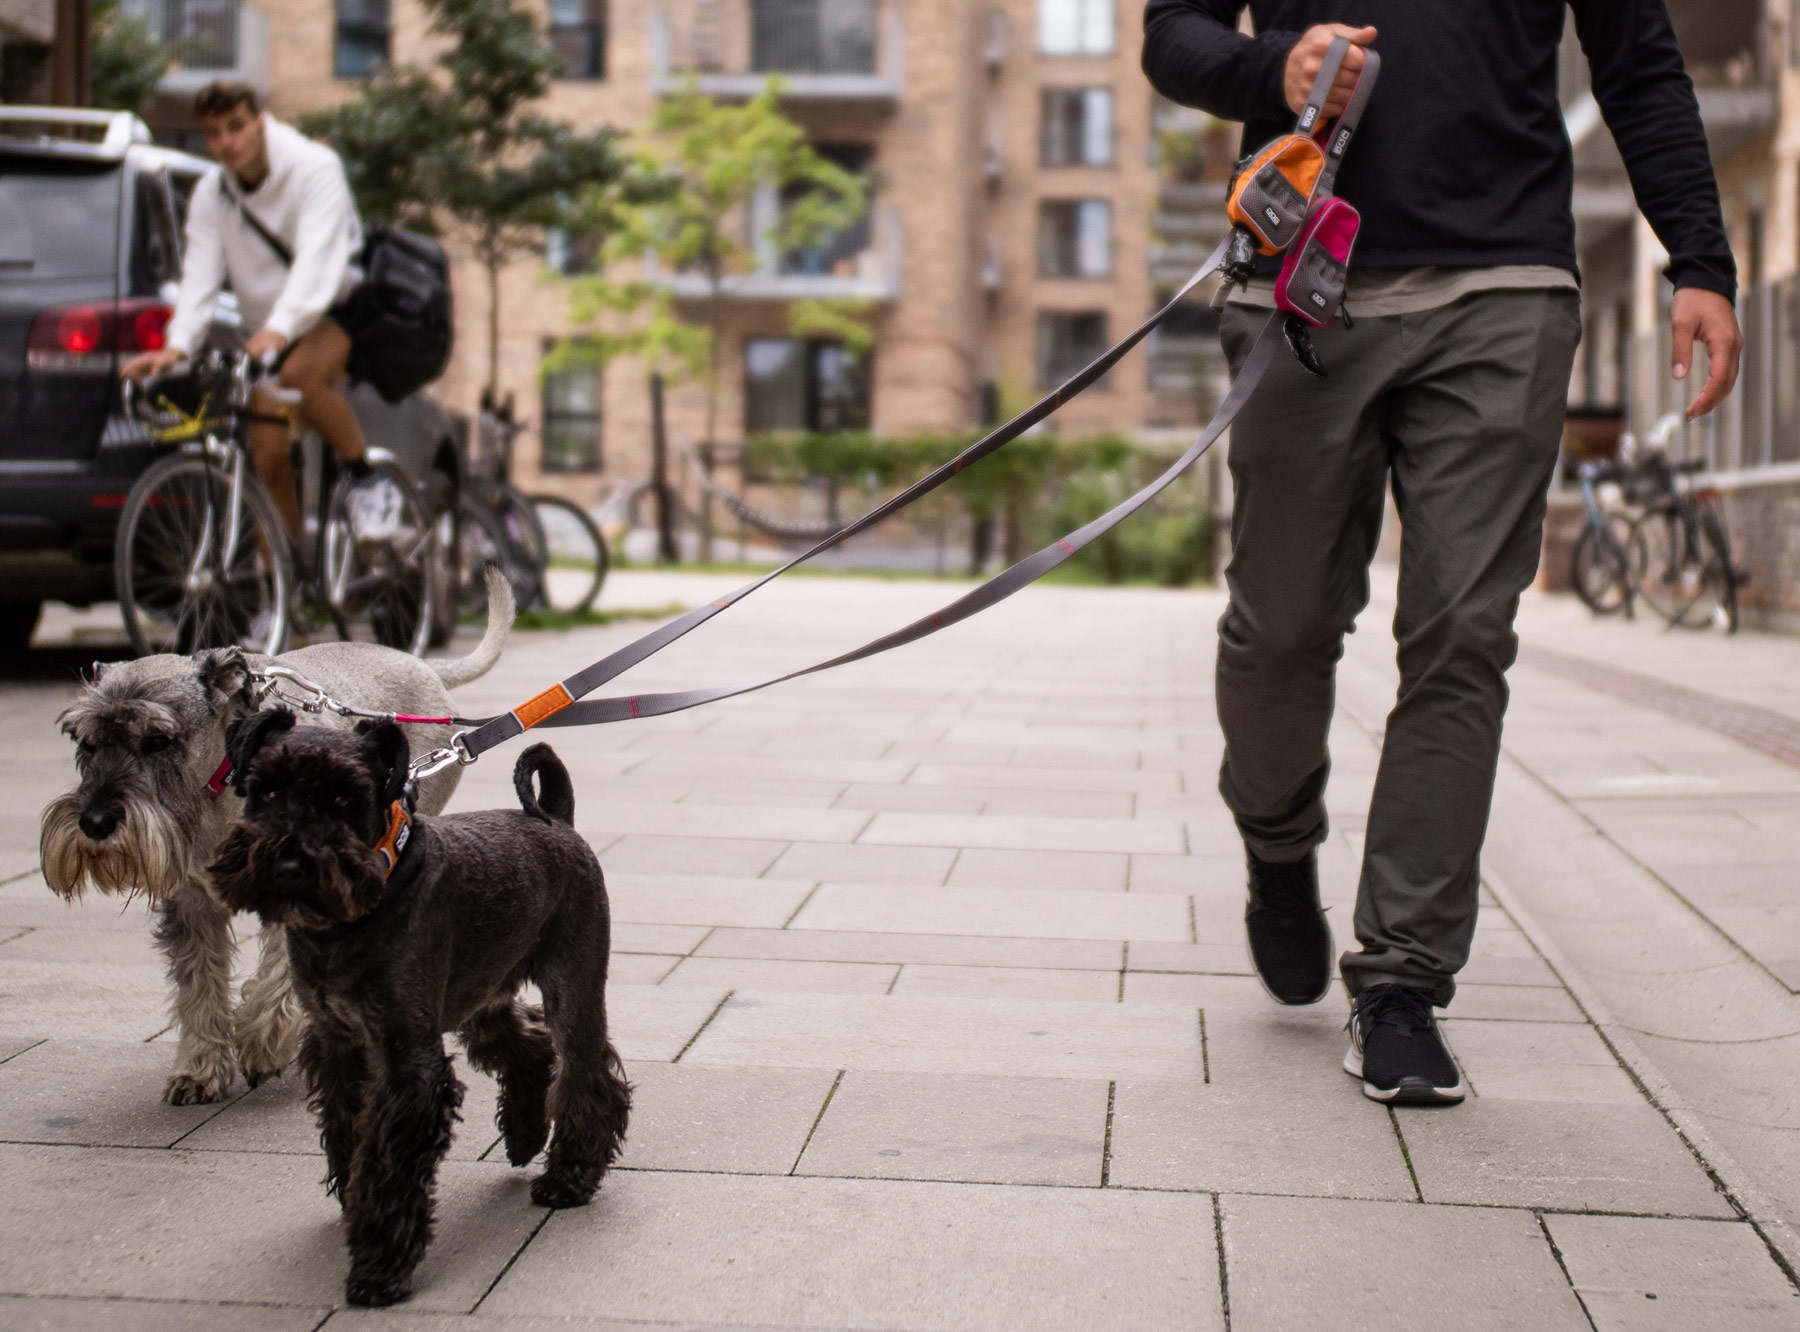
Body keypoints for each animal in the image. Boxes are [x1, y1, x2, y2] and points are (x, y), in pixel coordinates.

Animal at [38, 572, 514, 1101]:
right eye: (85, 741)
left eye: (159, 740)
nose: (95, 822)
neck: (222, 788)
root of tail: (423, 665)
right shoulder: (192, 902)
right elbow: (198, 983)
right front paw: (199, 1069)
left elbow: (276, 974)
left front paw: (262, 1042)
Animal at [209, 712, 630, 1303]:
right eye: (266, 790)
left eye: (344, 797)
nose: (290, 864)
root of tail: (555, 820)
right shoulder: (339, 1043)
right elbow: (349, 1130)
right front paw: (354, 1204)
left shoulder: (408, 1057)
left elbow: (390, 1158)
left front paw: (379, 1266)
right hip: (481, 991)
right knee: (528, 1047)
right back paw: (524, 1137)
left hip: (573, 985)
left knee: (587, 1073)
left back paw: (567, 1178)